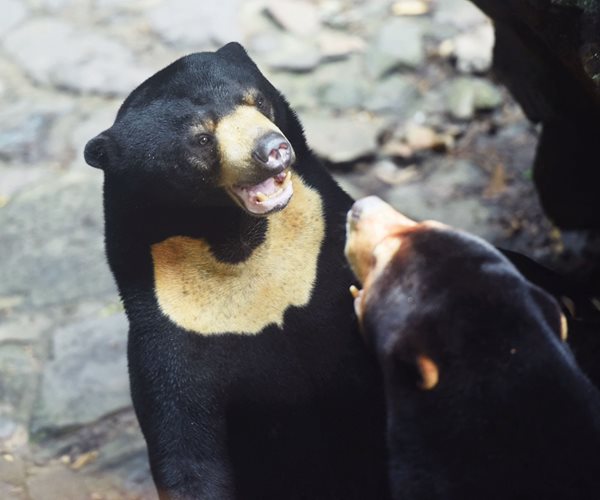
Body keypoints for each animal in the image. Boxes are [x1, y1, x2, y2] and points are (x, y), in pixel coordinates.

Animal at [84, 44, 390, 500]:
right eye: (201, 139)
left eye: (257, 101)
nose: (273, 148)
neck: (243, 247)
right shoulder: (171, 332)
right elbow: (186, 452)